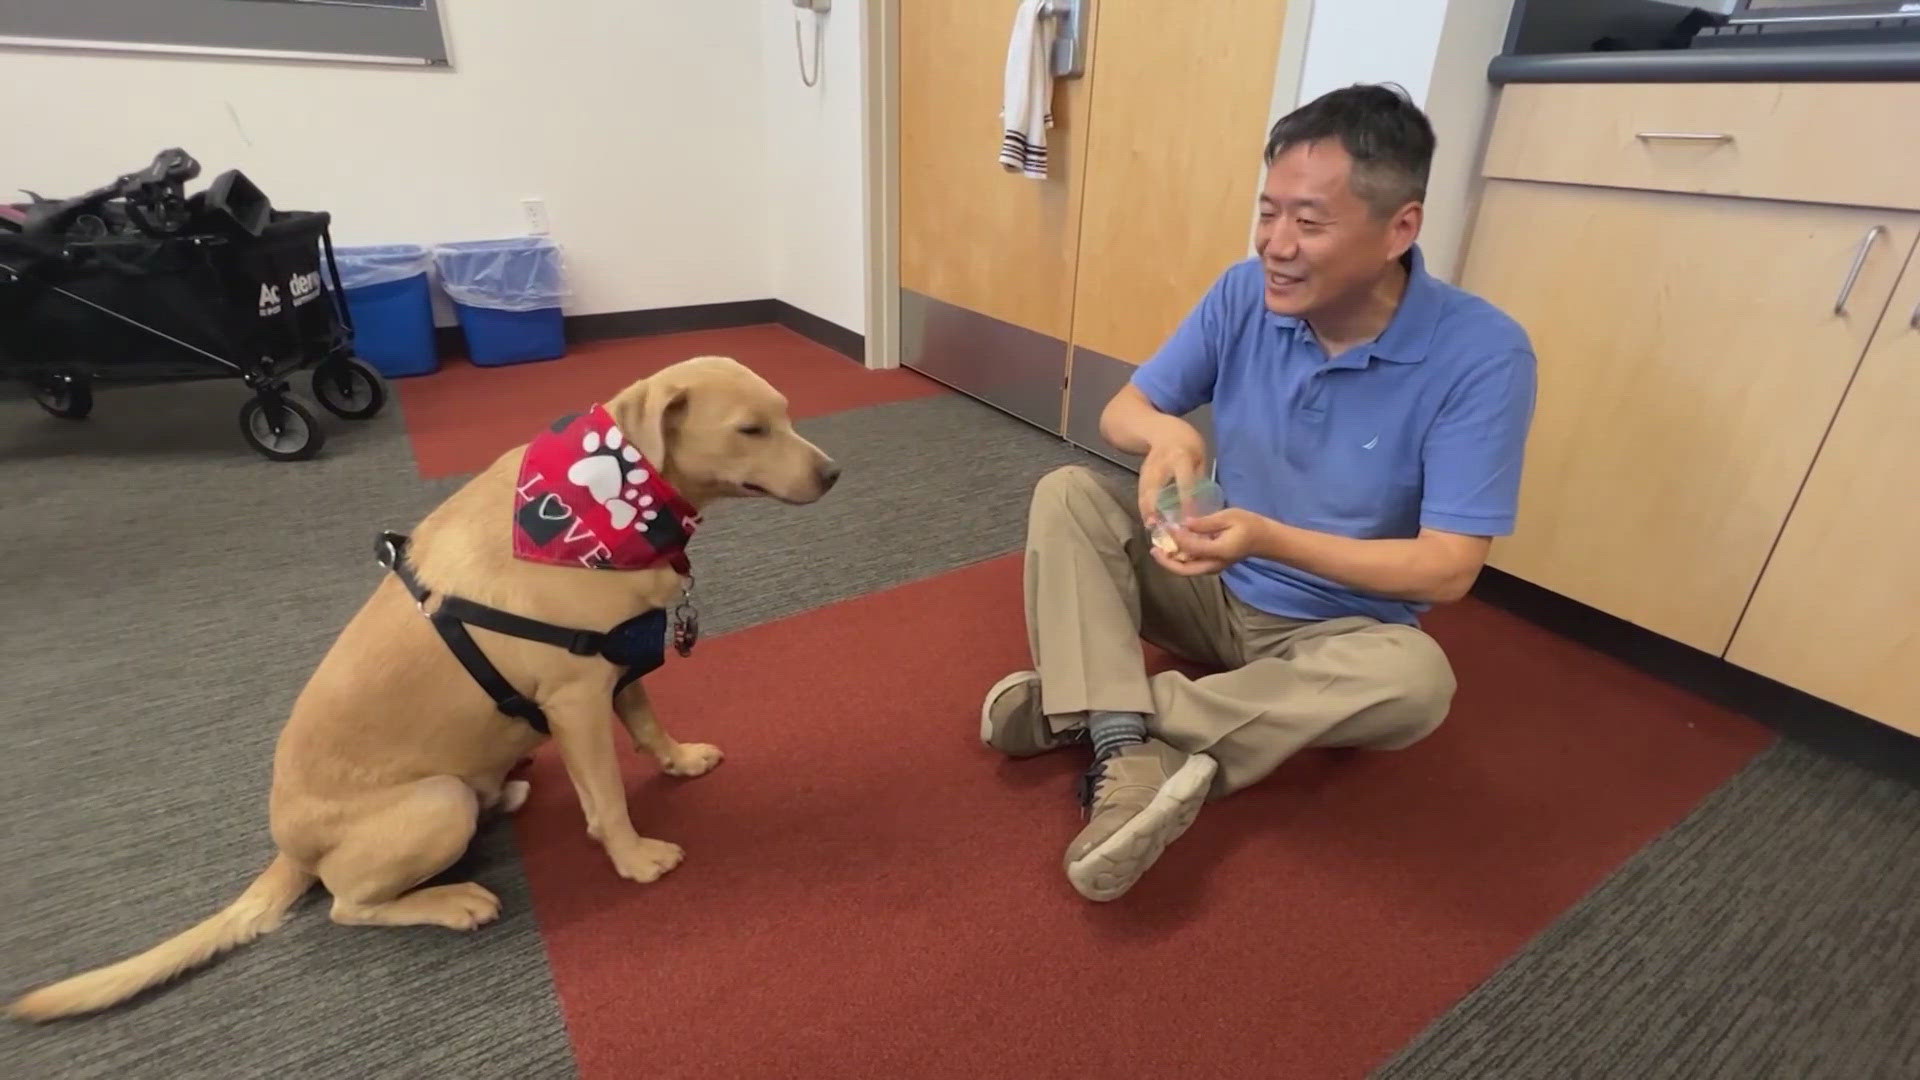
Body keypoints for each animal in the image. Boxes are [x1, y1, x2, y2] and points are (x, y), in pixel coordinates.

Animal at [9, 351, 833, 1014]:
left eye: (788, 415)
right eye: (751, 430)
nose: (833, 473)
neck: (605, 506)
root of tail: (289, 849)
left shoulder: (620, 662)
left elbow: (649, 723)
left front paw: (681, 760)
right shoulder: (575, 702)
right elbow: (605, 801)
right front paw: (634, 860)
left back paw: (507, 791)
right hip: (436, 804)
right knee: (347, 906)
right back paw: (454, 900)